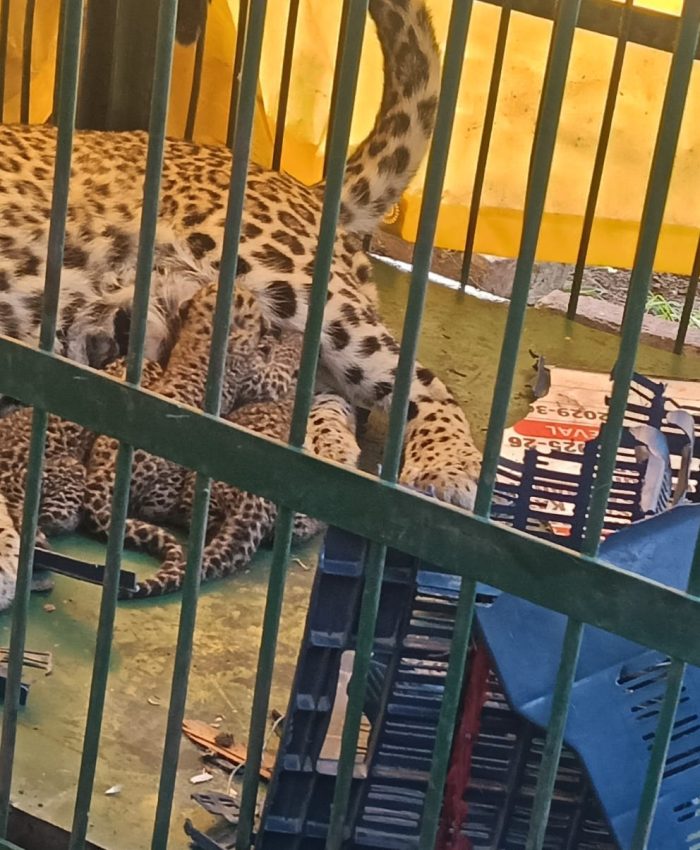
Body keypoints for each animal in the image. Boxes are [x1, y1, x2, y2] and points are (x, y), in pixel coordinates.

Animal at [0, 0, 482, 512]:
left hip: (289, 275)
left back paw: (445, 468)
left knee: (423, 381)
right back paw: (323, 449)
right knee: (324, 390)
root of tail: (305, 188)